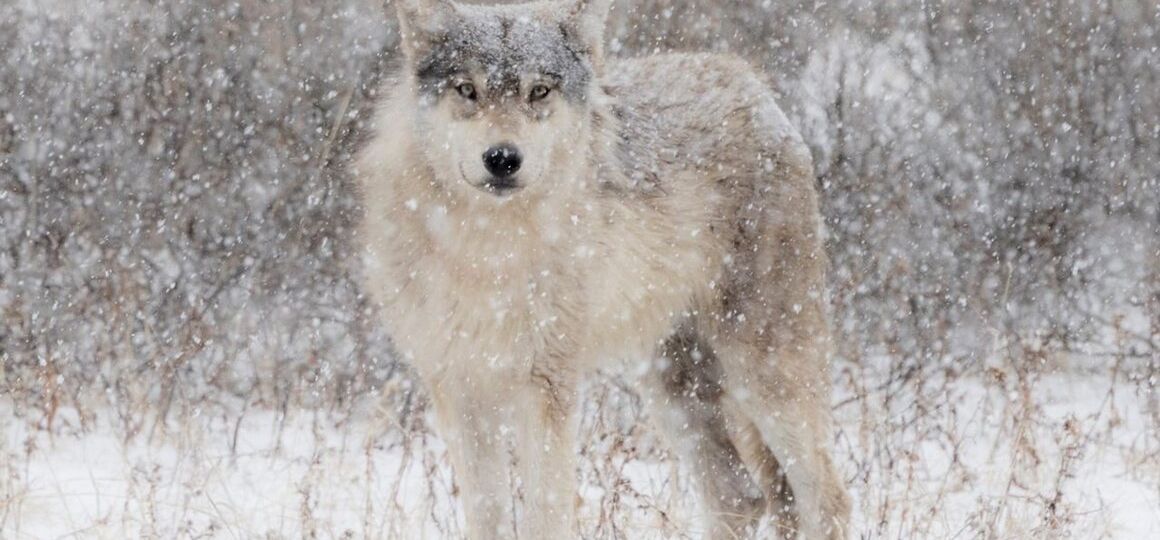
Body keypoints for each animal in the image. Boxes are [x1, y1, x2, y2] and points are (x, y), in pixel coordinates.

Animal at [356, 0, 851, 538]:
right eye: (468, 90)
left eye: (539, 91)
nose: (503, 158)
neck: (487, 255)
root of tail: (753, 85)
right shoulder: (459, 390)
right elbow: (487, 516)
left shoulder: (547, 386)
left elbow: (546, 513)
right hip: (672, 384)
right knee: (739, 494)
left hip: (764, 369)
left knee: (826, 497)